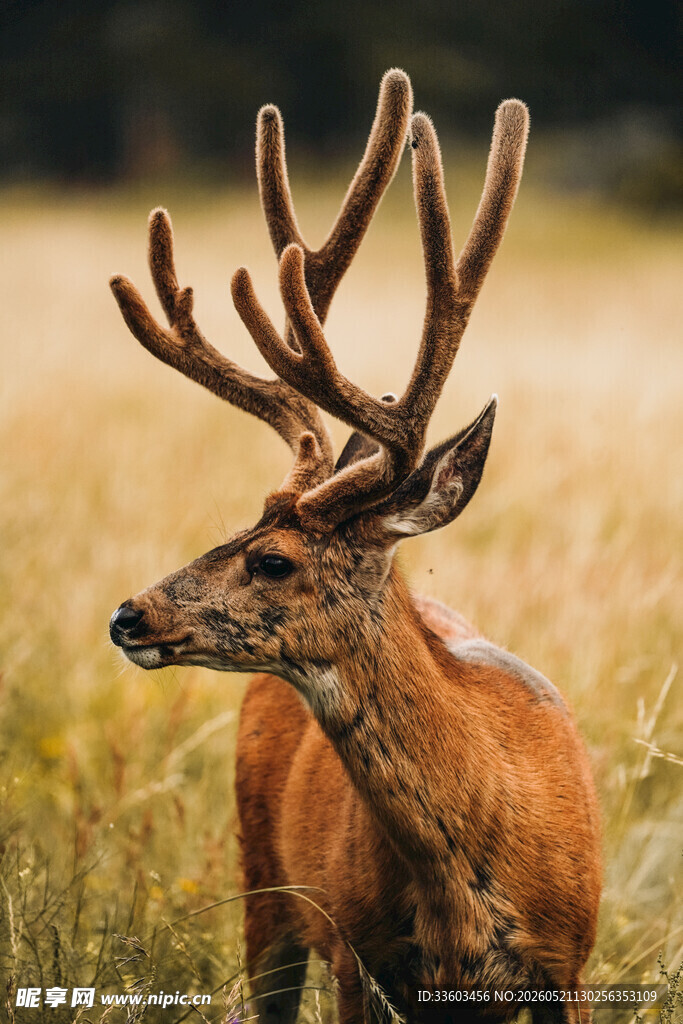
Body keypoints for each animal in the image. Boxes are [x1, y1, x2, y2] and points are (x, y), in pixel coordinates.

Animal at [108, 69, 602, 1023]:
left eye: (272, 559)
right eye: (232, 527)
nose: (128, 615)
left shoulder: (570, 962)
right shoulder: (355, 955)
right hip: (265, 889)